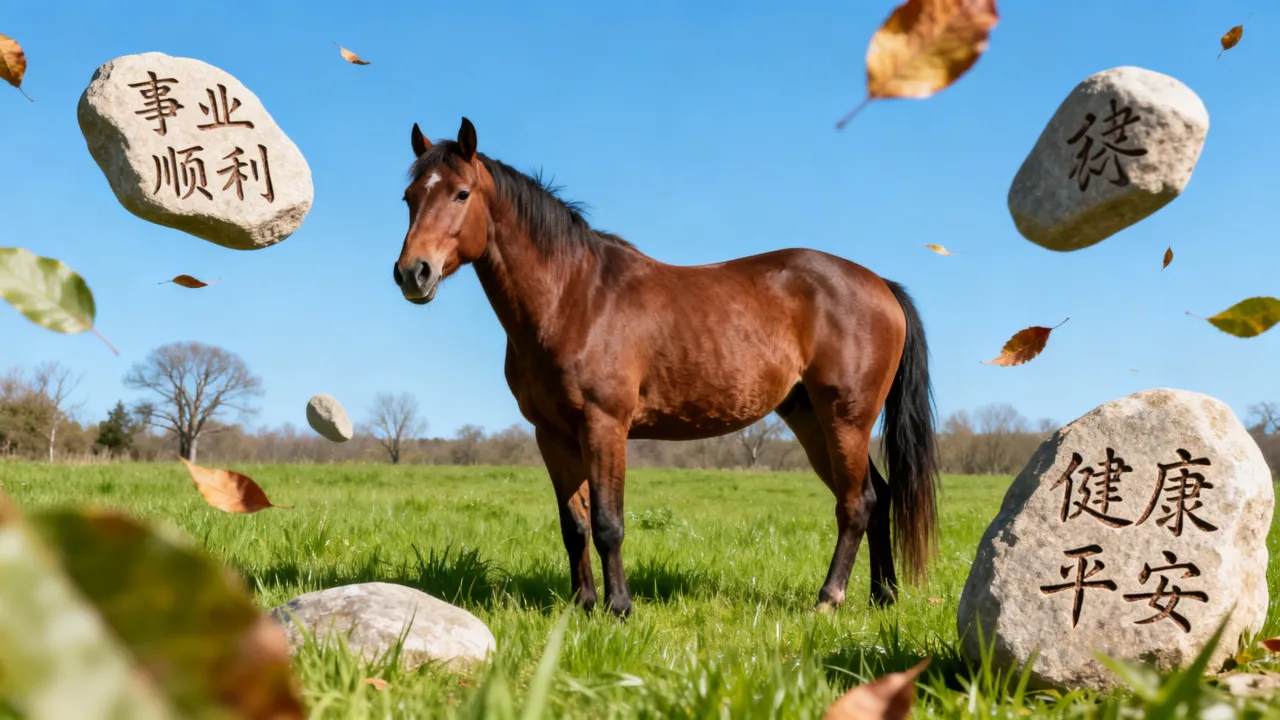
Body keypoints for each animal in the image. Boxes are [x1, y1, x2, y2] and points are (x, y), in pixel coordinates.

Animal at [392, 117, 940, 618]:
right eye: (409, 196)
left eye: (462, 193)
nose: (412, 273)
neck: (573, 296)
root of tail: (880, 284)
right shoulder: (552, 434)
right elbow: (575, 526)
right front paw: (582, 605)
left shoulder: (605, 425)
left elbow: (608, 523)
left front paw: (619, 608)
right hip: (809, 418)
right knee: (880, 497)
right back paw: (882, 598)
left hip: (846, 418)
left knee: (858, 503)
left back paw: (829, 599)